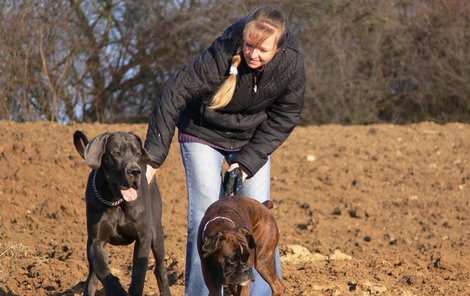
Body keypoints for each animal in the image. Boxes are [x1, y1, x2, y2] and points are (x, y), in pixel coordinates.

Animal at [72, 131, 170, 296]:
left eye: (137, 154)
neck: (115, 200)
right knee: (92, 276)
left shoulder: (143, 237)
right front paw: (117, 290)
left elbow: (138, 274)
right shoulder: (96, 241)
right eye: (117, 153)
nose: (135, 171)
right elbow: (103, 270)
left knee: (160, 269)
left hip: (157, 235)